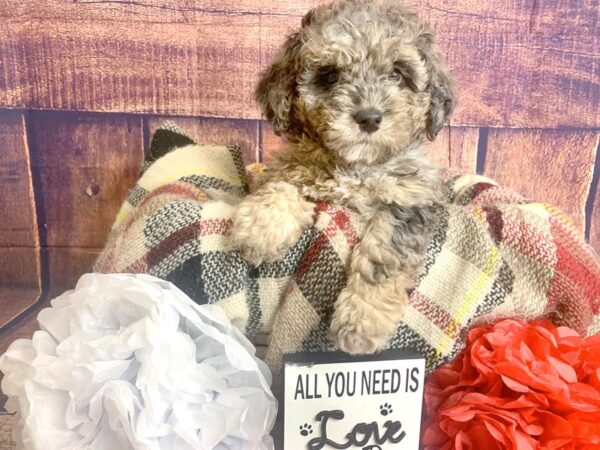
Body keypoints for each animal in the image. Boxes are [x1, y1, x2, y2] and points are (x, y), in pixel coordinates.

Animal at [230, 0, 454, 356]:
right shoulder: (292, 165)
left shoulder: (410, 198)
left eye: (397, 73)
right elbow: (281, 184)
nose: (369, 117)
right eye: (330, 76)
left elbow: (383, 258)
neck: (356, 166)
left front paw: (361, 323)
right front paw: (261, 229)